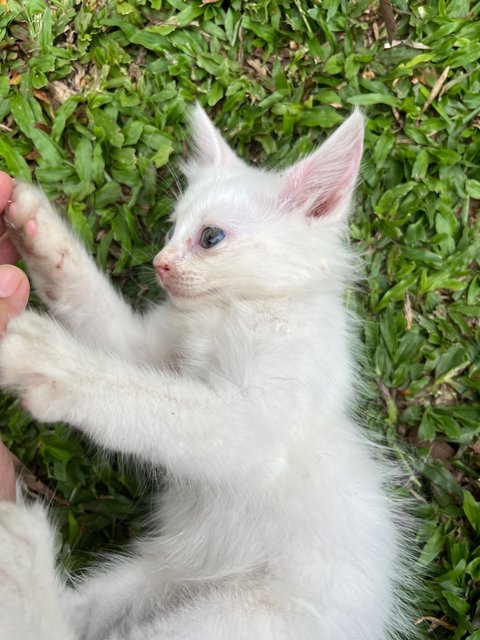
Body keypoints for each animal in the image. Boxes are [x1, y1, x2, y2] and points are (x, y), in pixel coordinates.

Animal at [0, 107, 414, 636]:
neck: (234, 307)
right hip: (152, 580)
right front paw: (41, 235)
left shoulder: (258, 428)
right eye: (170, 231)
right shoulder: (153, 352)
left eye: (210, 238)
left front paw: (50, 362)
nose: (160, 264)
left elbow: (150, 399)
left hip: (242, 619)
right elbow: (113, 337)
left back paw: (20, 551)